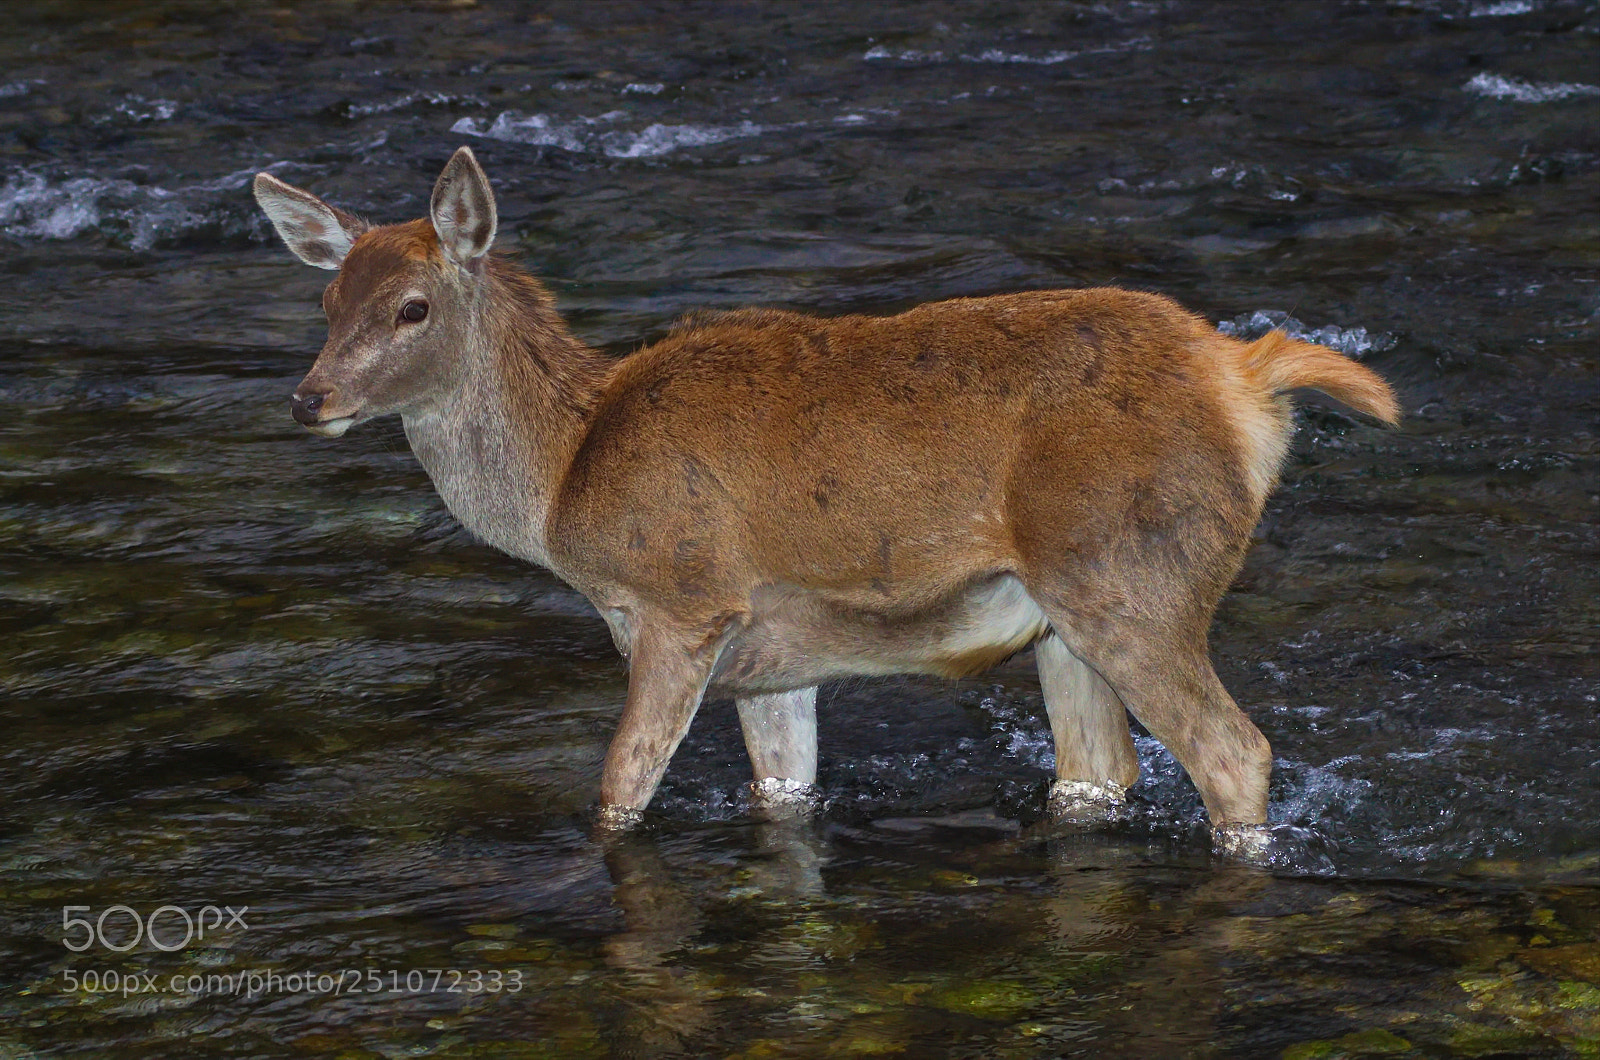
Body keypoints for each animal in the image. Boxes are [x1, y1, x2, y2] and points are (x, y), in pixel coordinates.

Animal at [253, 147, 1399, 854]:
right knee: (1099, 771)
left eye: (412, 307)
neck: (567, 478)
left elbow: (619, 792)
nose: (310, 398)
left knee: (1233, 753)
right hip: (1064, 615)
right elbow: (783, 791)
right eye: (326, 299)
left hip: (1131, 572)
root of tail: (1245, 380)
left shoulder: (684, 599)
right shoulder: (770, 651)